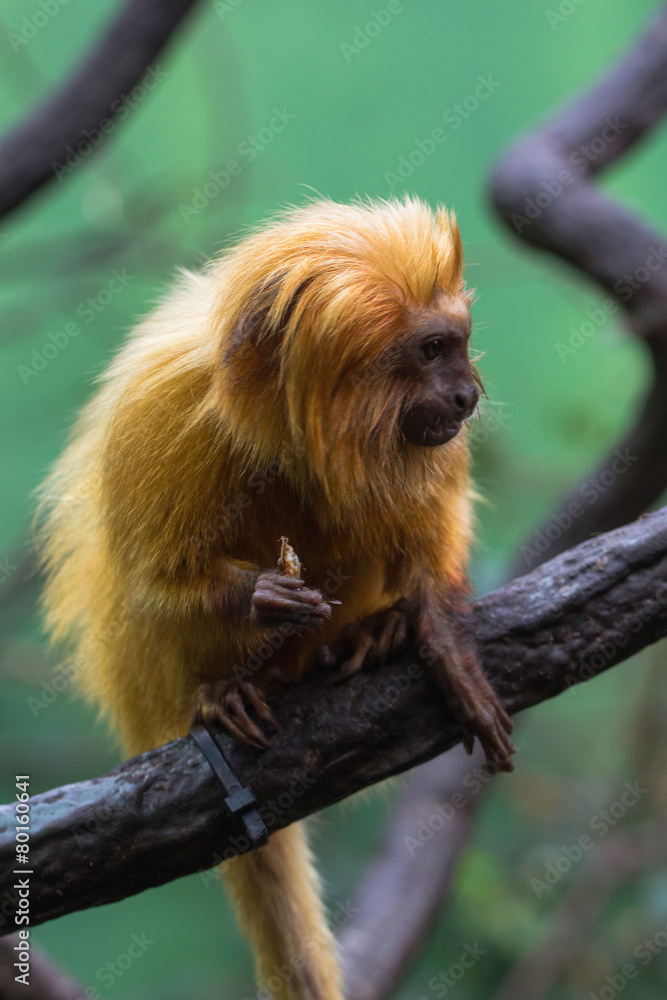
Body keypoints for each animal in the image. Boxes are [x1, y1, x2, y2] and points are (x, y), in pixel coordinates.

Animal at [37, 196, 515, 1000]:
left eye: (460, 345)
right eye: (431, 349)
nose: (467, 393)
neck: (292, 431)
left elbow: (430, 536)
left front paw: (441, 640)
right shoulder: (161, 414)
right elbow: (147, 578)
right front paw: (260, 597)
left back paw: (360, 639)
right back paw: (226, 688)